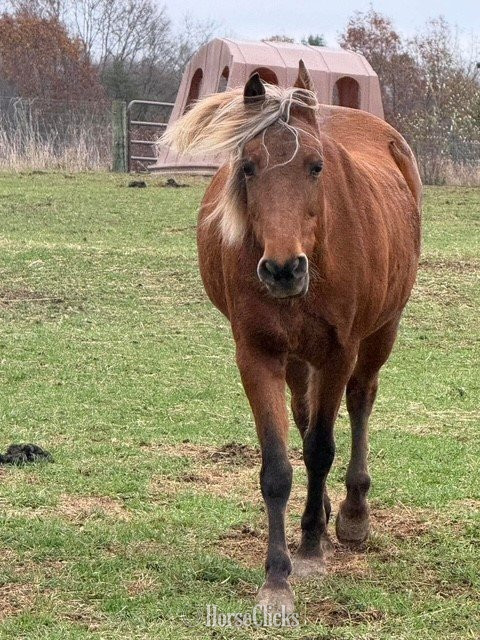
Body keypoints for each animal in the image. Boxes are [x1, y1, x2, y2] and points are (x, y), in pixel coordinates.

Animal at [161, 61, 421, 612]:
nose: (283, 270)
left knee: (360, 400)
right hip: (300, 358)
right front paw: (277, 577)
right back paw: (320, 513)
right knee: (303, 417)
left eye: (316, 167)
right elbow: (279, 467)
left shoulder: (340, 352)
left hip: (379, 333)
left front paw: (310, 551)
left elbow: (322, 448)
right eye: (248, 167)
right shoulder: (257, 354)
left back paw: (351, 515)